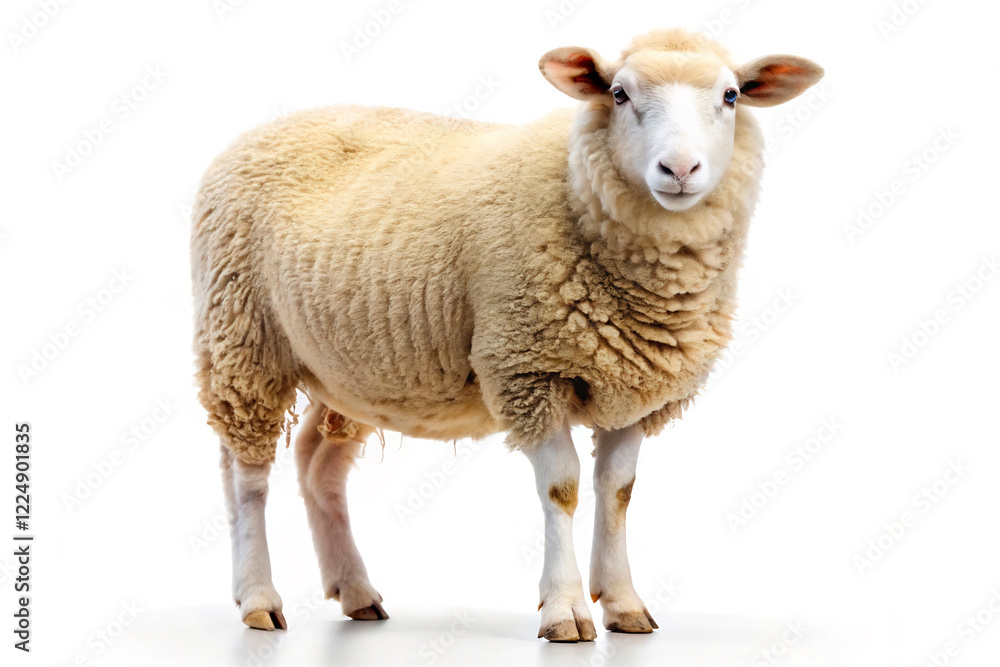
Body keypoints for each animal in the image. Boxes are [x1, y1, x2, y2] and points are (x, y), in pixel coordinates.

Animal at [191, 27, 823, 642]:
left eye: (731, 96)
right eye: (619, 94)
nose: (680, 170)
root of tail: (261, 129)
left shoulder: (635, 386)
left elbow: (618, 490)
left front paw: (623, 603)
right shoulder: (528, 369)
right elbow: (563, 488)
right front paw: (565, 610)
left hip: (349, 369)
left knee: (318, 466)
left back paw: (356, 592)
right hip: (240, 341)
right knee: (247, 478)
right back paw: (259, 598)